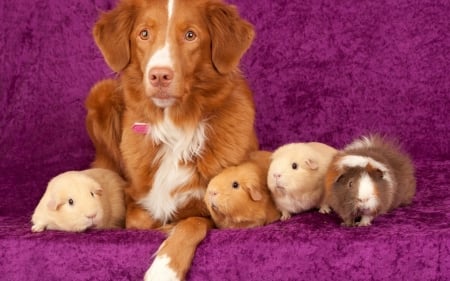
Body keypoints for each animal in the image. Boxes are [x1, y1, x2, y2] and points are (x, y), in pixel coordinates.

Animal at [86, 0, 258, 278]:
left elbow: (190, 223)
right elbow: (139, 220)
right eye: (144, 34)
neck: (175, 128)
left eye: (190, 35)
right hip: (100, 93)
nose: (159, 75)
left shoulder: (213, 208)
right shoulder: (135, 197)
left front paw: (165, 268)